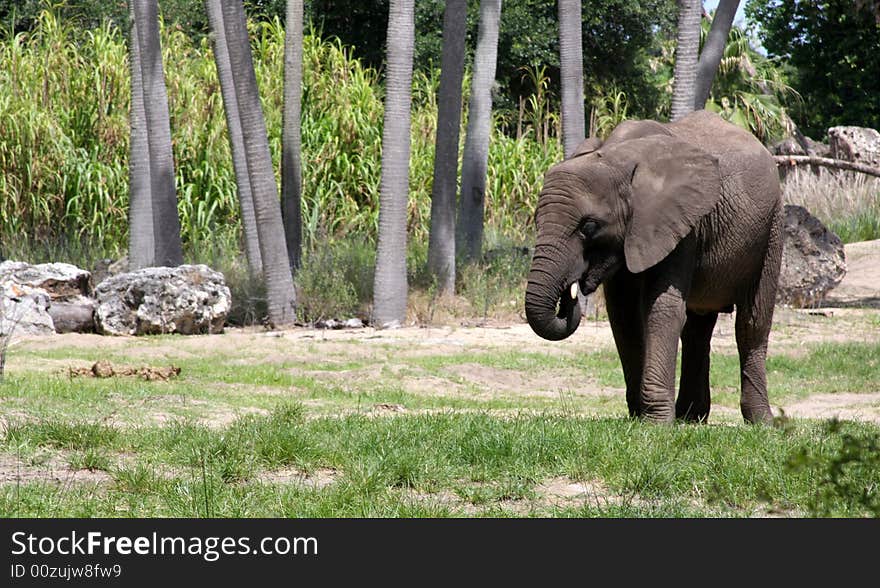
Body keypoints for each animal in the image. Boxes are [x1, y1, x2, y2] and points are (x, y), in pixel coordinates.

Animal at [524, 111, 784, 422]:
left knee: (752, 322)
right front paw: (640, 417)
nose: (569, 296)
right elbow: (623, 315)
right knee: (697, 327)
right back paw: (690, 419)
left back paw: (761, 423)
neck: (617, 157)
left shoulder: (681, 224)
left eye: (588, 226)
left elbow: (662, 309)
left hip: (772, 227)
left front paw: (656, 423)